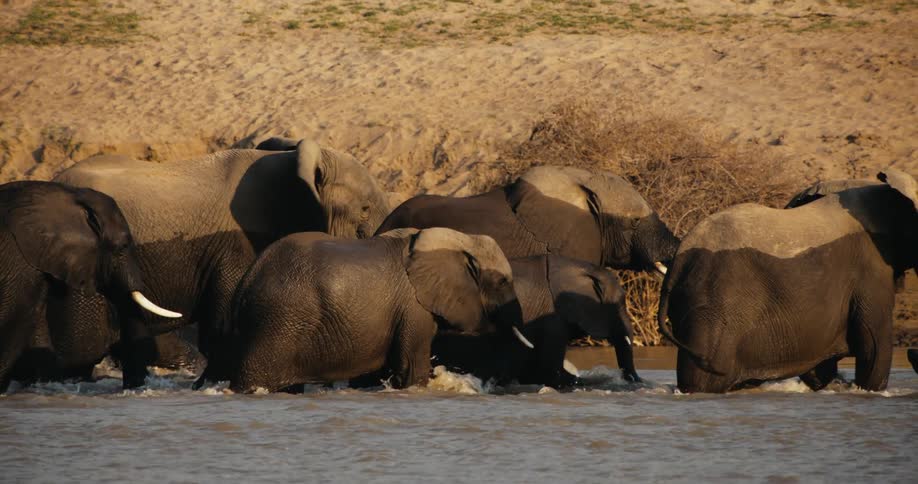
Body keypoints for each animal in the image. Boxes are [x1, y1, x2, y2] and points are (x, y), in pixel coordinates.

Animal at [223, 228, 531, 393]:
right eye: (503, 282)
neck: (460, 239)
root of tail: (246, 282)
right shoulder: (414, 307)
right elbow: (412, 367)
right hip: (278, 322)